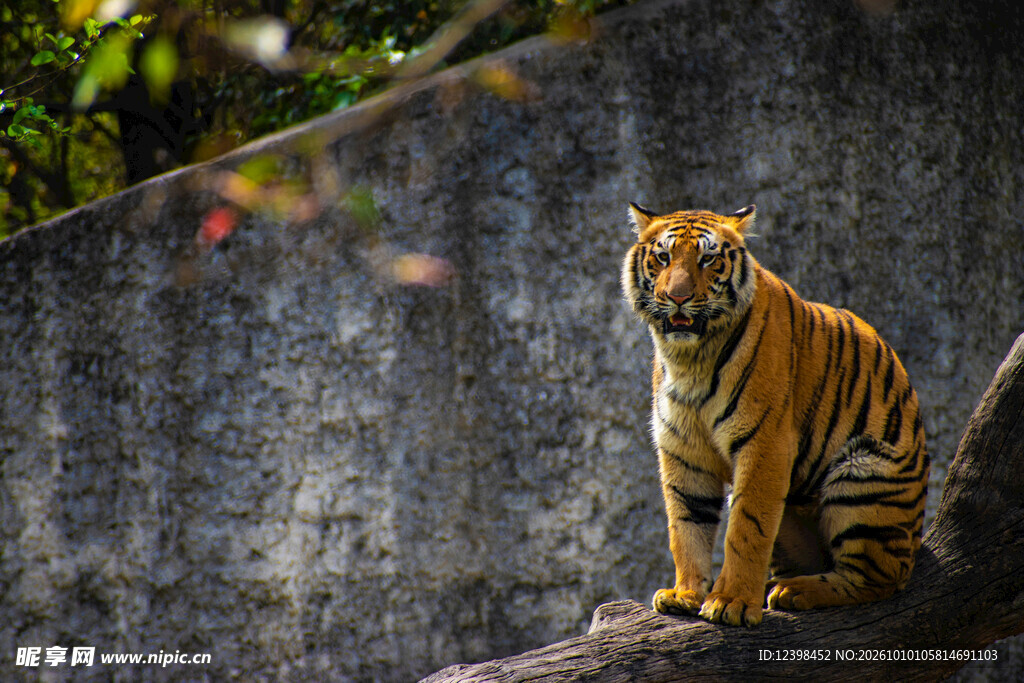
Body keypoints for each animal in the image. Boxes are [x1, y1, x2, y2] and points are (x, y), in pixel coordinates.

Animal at [620, 203, 929, 627]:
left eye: (708, 259)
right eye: (663, 257)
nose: (677, 297)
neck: (689, 357)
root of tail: (916, 539)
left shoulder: (765, 443)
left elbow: (746, 527)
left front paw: (730, 602)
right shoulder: (684, 451)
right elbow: (686, 525)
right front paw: (684, 594)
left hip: (863, 477)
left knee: (875, 579)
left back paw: (793, 591)